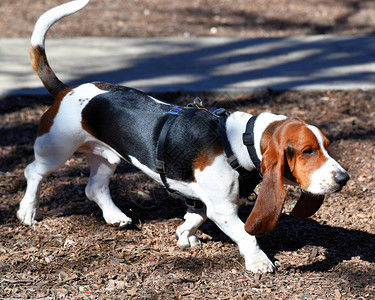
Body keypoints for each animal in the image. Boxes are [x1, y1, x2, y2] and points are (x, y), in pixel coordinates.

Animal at [18, 0, 350, 274]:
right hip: (55, 149)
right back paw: (27, 211)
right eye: (307, 151)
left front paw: (184, 236)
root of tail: (67, 89)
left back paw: (115, 216)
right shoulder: (222, 208)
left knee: (94, 187)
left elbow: (195, 218)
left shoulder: (203, 201)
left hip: (106, 157)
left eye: (326, 146)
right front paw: (258, 261)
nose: (344, 178)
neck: (237, 141)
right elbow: (246, 234)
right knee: (33, 172)